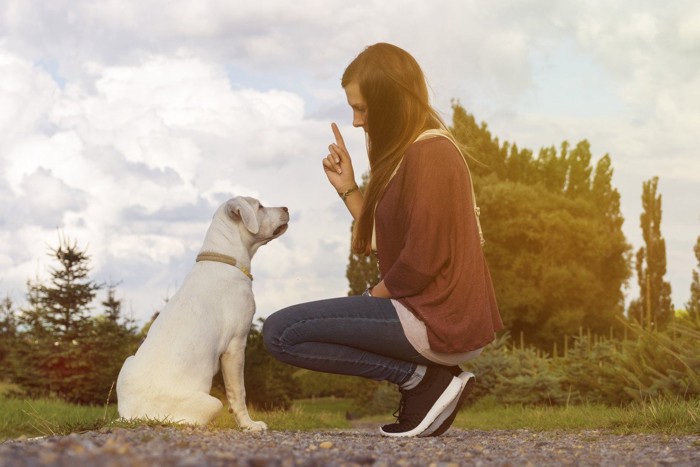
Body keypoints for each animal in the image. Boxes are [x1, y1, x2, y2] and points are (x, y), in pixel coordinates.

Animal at [116, 195, 288, 432]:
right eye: (260, 207)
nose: (286, 208)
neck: (224, 259)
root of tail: (131, 417)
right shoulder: (235, 345)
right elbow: (238, 392)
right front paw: (249, 425)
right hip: (212, 402)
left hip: (127, 362)